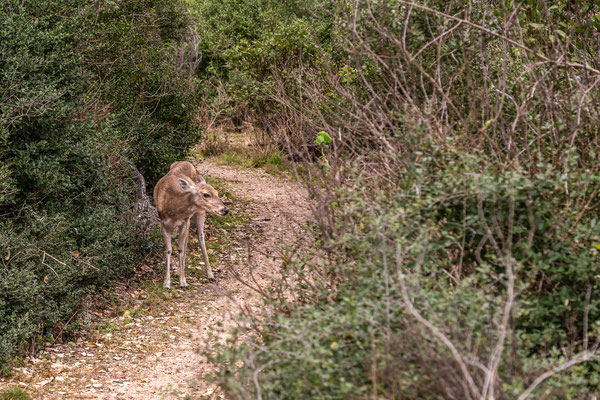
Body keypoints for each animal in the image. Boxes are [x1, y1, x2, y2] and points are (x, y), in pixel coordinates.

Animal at [154, 161, 229, 290]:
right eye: (206, 194)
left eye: (217, 193)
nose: (225, 210)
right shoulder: (163, 224)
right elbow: (169, 250)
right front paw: (166, 283)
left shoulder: (184, 221)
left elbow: (180, 249)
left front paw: (183, 282)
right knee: (187, 241)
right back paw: (179, 270)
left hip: (200, 214)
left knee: (201, 238)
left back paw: (210, 275)